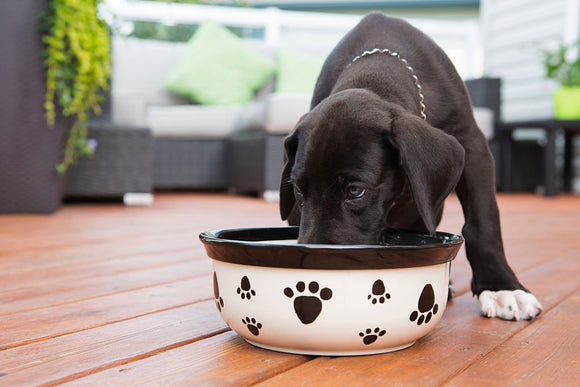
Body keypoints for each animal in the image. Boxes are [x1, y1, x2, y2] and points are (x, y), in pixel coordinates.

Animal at [278, 12, 540, 322]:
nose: (314, 271)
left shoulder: (472, 146)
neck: (378, 69)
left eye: (355, 191)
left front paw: (501, 287)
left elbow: (483, 220)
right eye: (298, 190)